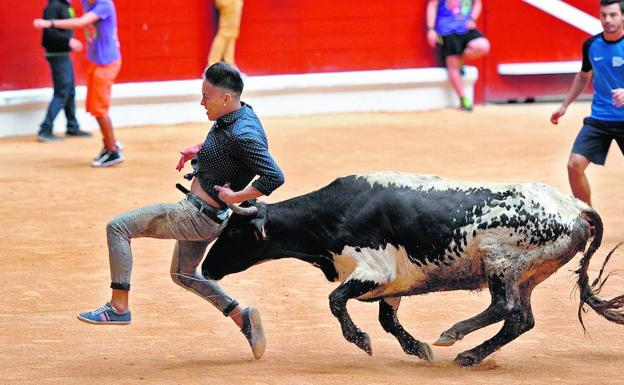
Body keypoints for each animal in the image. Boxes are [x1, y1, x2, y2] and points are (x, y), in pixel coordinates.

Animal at [202, 172, 620, 366]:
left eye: (234, 232)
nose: (206, 267)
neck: (337, 212)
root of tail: (574, 205)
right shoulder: (392, 285)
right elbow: (388, 320)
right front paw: (418, 349)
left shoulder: (374, 272)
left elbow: (336, 299)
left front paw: (362, 340)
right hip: (529, 276)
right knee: (521, 320)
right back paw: (470, 356)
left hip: (499, 264)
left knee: (506, 308)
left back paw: (453, 335)